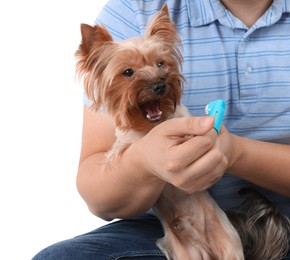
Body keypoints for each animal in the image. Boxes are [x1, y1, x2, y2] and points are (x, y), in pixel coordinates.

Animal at [75, 4, 290, 260]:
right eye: (128, 72)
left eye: (161, 64)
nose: (159, 85)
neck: (152, 126)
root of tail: (206, 248)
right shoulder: (131, 136)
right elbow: (126, 144)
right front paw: (117, 153)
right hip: (184, 252)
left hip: (227, 244)